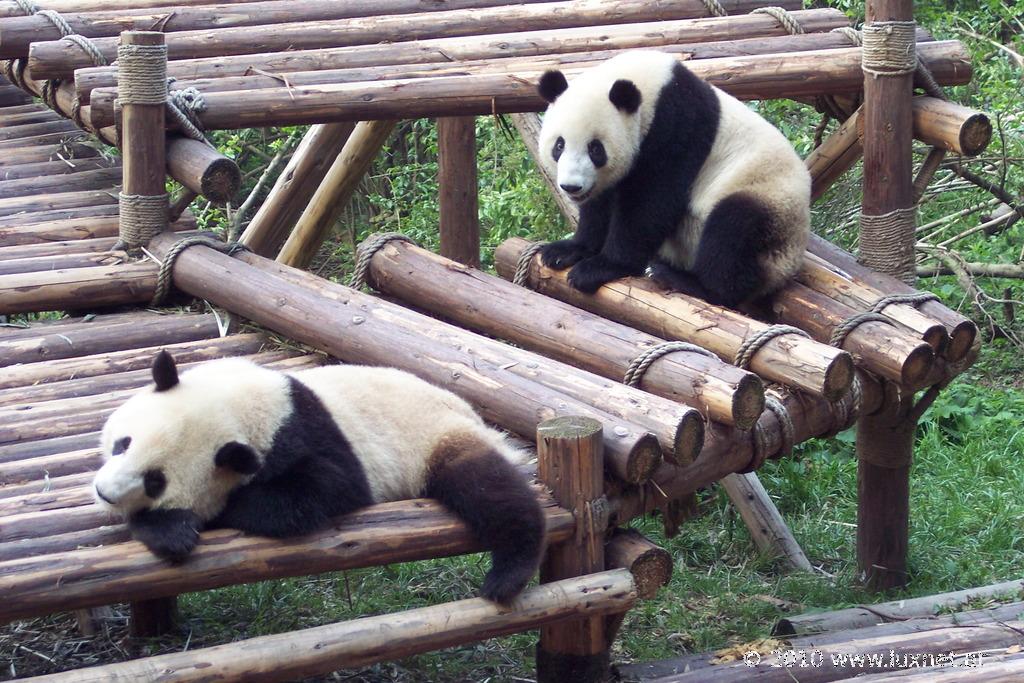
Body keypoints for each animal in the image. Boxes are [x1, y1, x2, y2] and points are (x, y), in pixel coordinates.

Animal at [92, 352, 548, 602]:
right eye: (122, 444)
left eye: (156, 480)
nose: (104, 492)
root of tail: (472, 414)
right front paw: (168, 527)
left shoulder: (310, 440)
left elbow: (320, 492)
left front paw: (189, 520)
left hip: (436, 438)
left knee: (490, 489)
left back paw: (508, 573)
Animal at [536, 52, 806, 309]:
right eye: (559, 145)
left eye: (595, 149)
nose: (572, 186)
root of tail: (787, 266)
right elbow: (600, 205)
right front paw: (566, 250)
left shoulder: (677, 126)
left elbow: (651, 201)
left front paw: (600, 267)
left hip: (769, 201)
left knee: (733, 228)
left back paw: (688, 282)